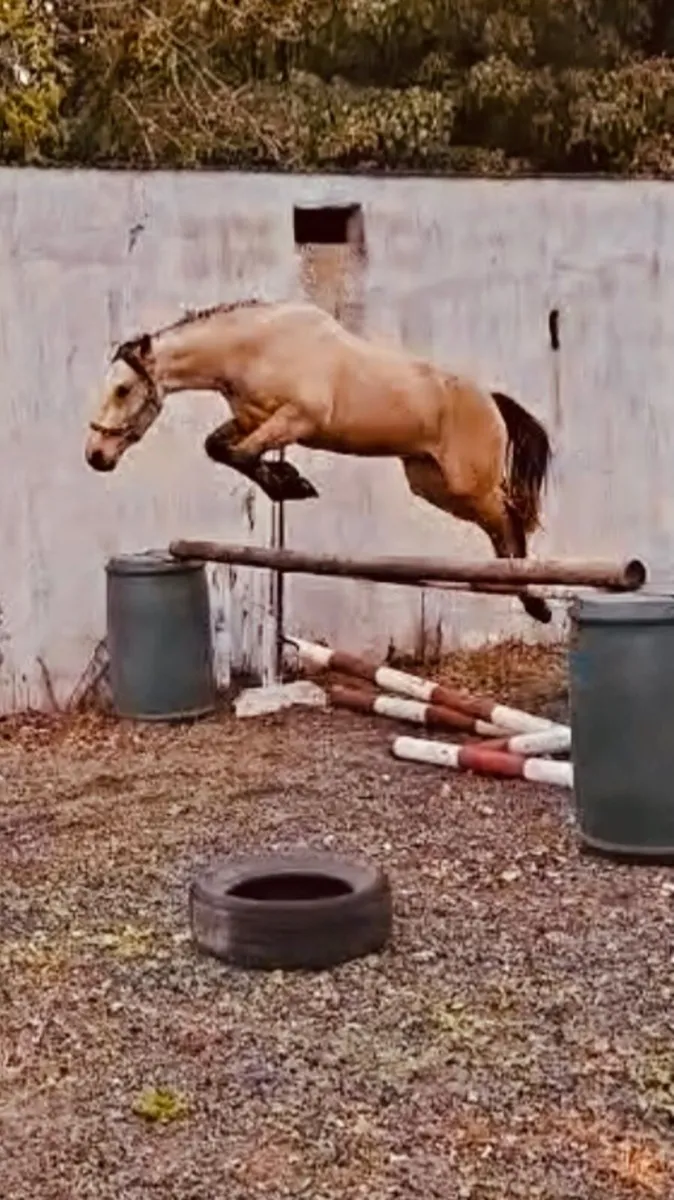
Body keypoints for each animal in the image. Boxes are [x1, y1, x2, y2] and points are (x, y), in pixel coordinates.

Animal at [85, 297, 553, 623]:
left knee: (511, 516)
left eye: (123, 389)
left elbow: (242, 453)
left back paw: (535, 601)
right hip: (433, 484)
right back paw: (520, 592)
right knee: (499, 525)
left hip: (468, 483)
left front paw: (289, 483)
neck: (255, 348)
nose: (95, 456)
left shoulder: (297, 419)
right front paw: (287, 481)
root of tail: (491, 400)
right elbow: (219, 449)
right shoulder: (251, 420)